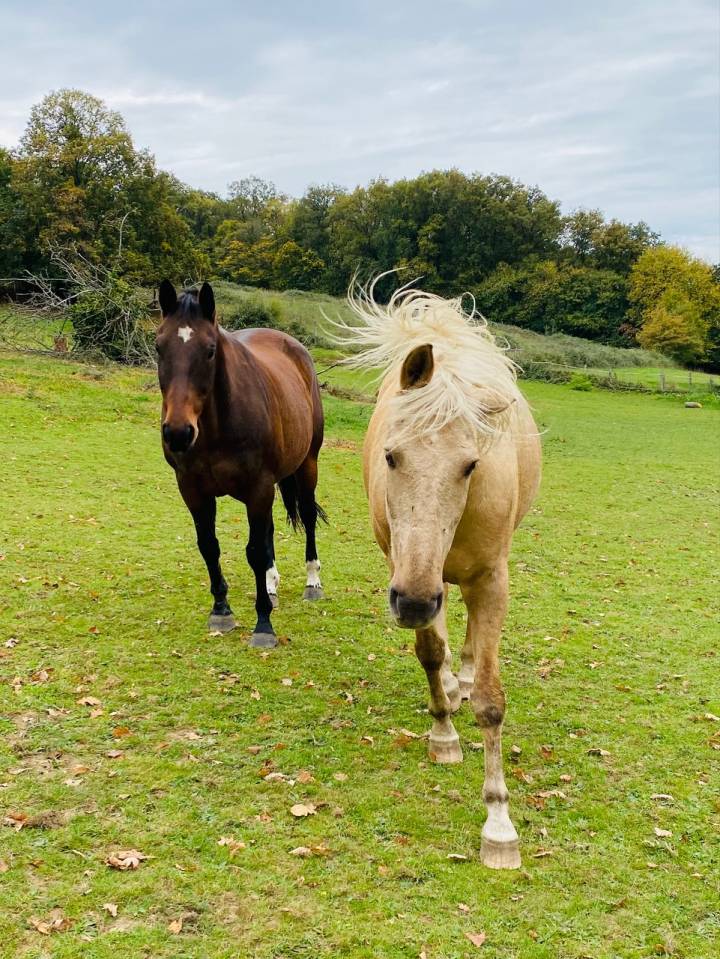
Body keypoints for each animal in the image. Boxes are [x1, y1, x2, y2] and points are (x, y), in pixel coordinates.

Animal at [155, 280, 326, 648]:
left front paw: (263, 625)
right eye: (159, 347)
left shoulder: (257, 488)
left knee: (307, 516)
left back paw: (312, 582)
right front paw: (221, 610)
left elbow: (255, 552)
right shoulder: (192, 489)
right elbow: (210, 546)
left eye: (209, 350)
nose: (178, 432)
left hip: (307, 464)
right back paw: (272, 584)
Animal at [335, 280, 541, 869]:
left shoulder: (491, 580)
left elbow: (492, 701)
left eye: (471, 465)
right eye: (390, 456)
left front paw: (499, 825)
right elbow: (429, 652)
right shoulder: (404, 569)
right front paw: (443, 734)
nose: (412, 603)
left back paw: (463, 677)